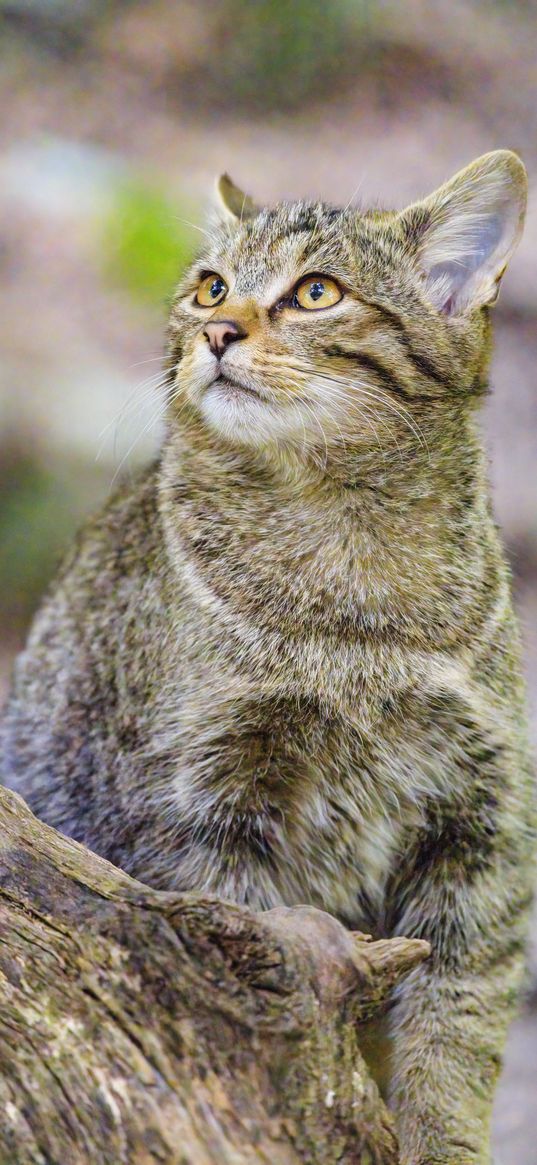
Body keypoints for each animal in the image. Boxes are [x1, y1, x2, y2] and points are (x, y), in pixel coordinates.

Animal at [2, 150, 533, 1160]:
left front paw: (437, 1136)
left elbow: (454, 1035)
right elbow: (263, 991)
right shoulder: (199, 817)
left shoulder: (480, 833)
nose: (216, 328)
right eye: (210, 286)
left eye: (316, 292)